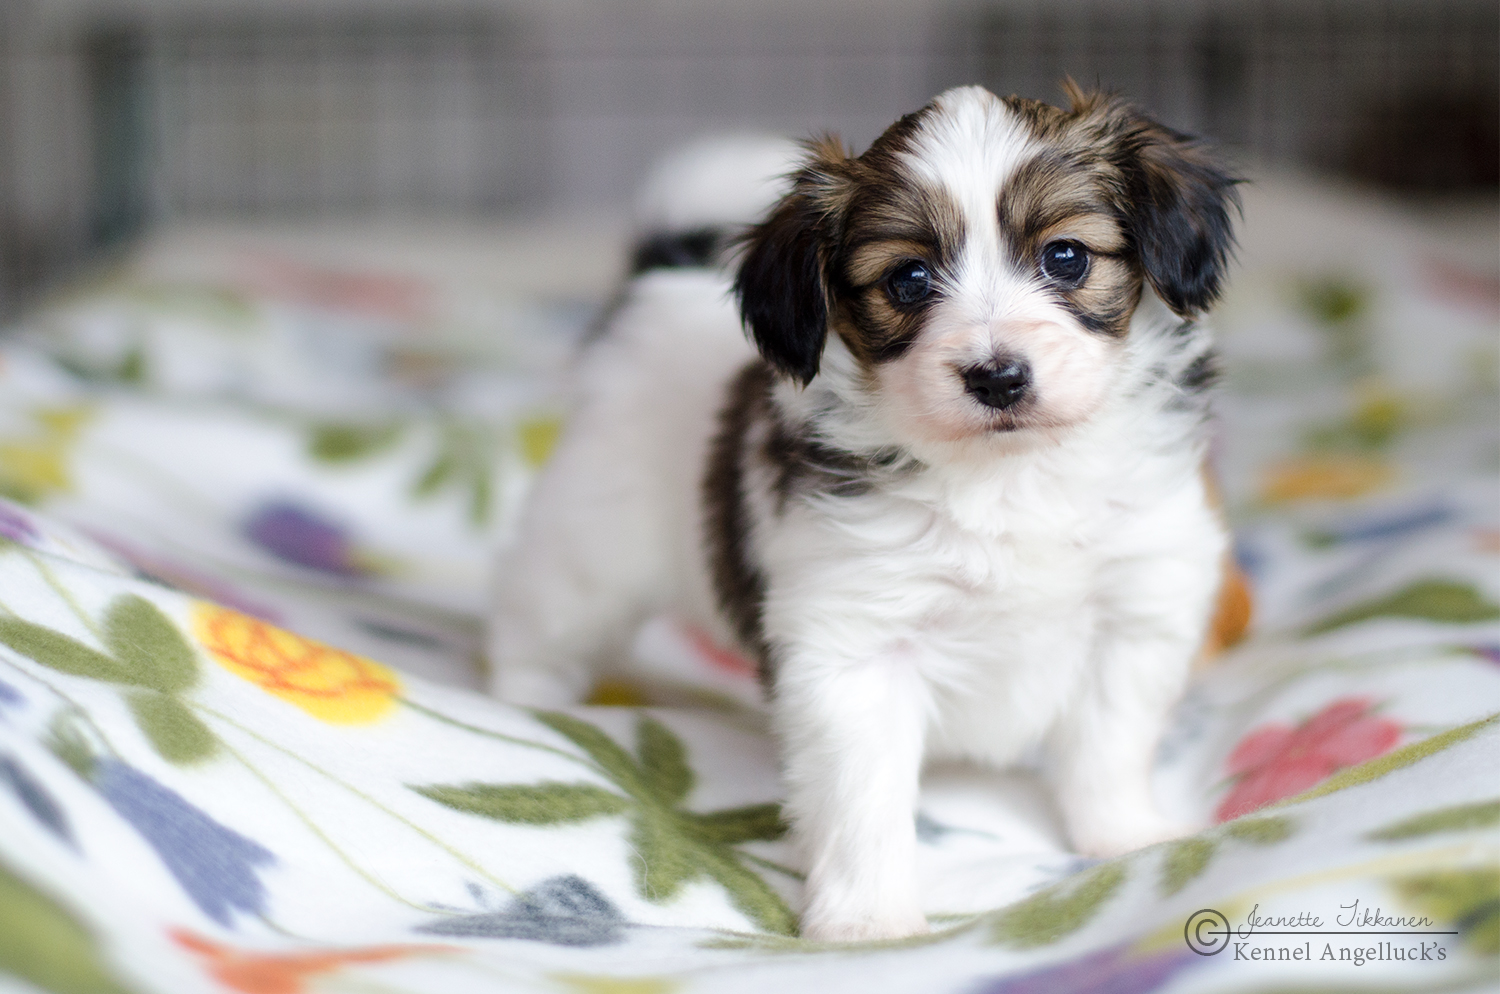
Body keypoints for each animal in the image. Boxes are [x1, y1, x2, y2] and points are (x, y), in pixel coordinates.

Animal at [489, 83, 1243, 941]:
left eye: (1066, 257)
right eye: (909, 279)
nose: (997, 377)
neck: (1005, 476)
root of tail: (655, 295)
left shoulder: (1136, 610)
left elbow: (1110, 745)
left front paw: (1126, 836)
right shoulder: (855, 654)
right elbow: (864, 801)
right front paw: (869, 920)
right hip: (588, 550)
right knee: (538, 626)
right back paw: (527, 709)